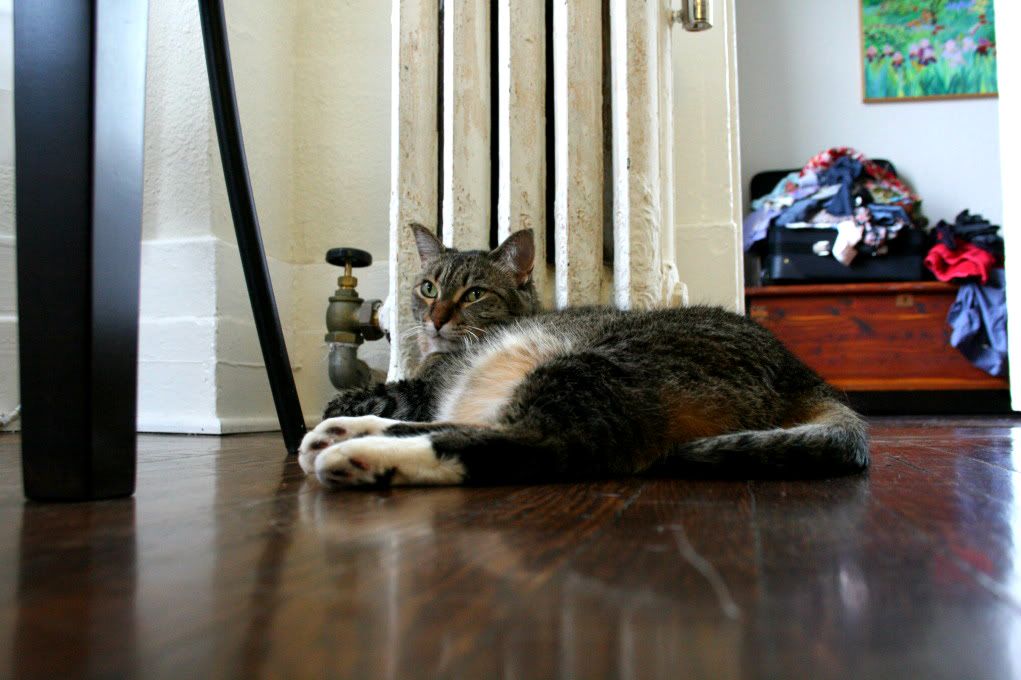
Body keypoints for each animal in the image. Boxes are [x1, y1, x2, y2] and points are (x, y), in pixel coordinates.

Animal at [298, 224, 869, 483]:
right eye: (427, 288)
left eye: (474, 294)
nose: (435, 318)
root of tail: (802, 373)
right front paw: (347, 416)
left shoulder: (422, 387)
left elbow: (383, 393)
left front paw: (347, 410)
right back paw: (348, 433)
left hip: (594, 365)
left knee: (536, 441)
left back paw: (361, 454)